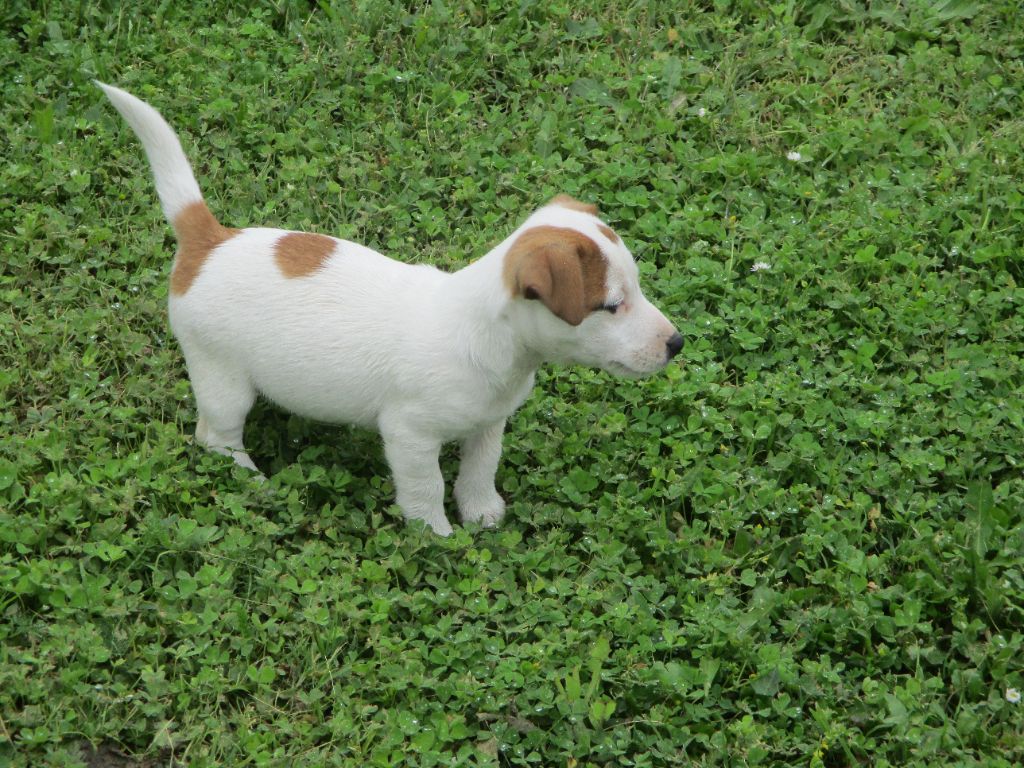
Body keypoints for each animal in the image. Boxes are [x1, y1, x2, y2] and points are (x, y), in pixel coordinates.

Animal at [99, 82, 684, 536]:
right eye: (611, 305)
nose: (676, 343)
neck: (489, 336)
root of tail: (208, 240)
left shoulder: (488, 424)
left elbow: (479, 470)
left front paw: (482, 514)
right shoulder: (410, 435)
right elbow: (427, 487)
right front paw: (437, 534)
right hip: (221, 378)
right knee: (215, 436)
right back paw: (253, 480)